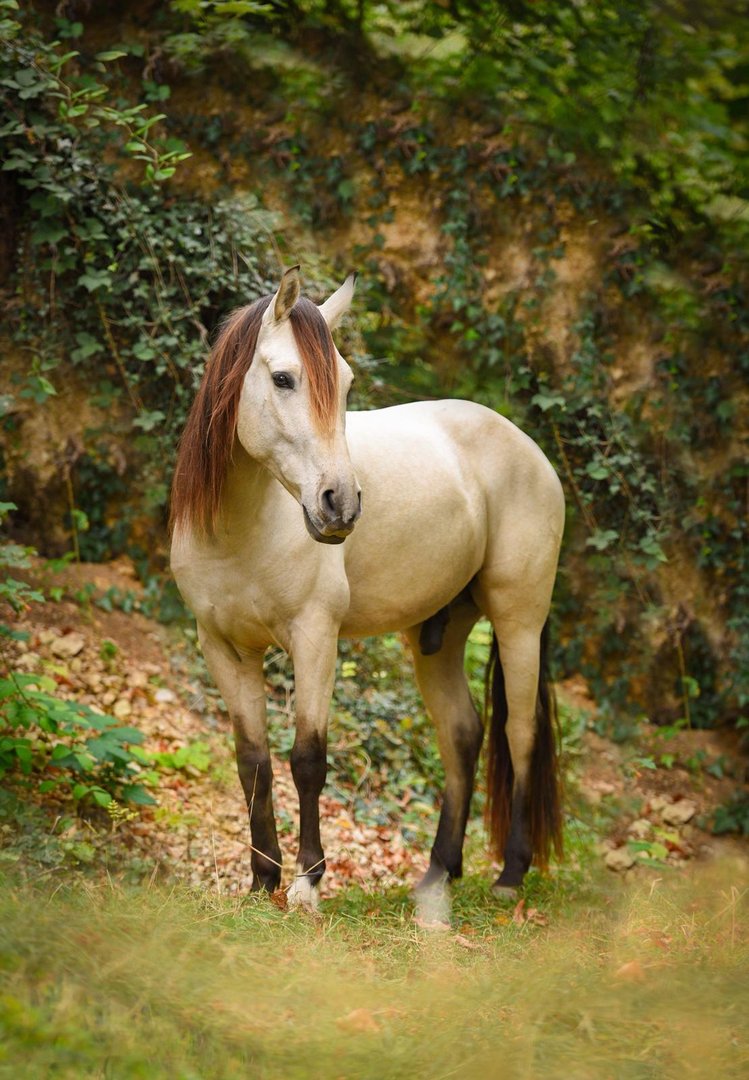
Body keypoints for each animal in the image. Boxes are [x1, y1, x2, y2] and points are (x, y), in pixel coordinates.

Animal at [171, 267, 561, 911]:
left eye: (347, 383)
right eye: (283, 378)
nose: (341, 504)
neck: (242, 529)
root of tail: (528, 449)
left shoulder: (314, 639)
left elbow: (307, 759)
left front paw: (307, 883)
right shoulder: (223, 648)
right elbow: (253, 762)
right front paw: (262, 881)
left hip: (519, 621)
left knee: (519, 732)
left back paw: (510, 876)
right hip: (437, 637)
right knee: (463, 734)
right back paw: (438, 873)